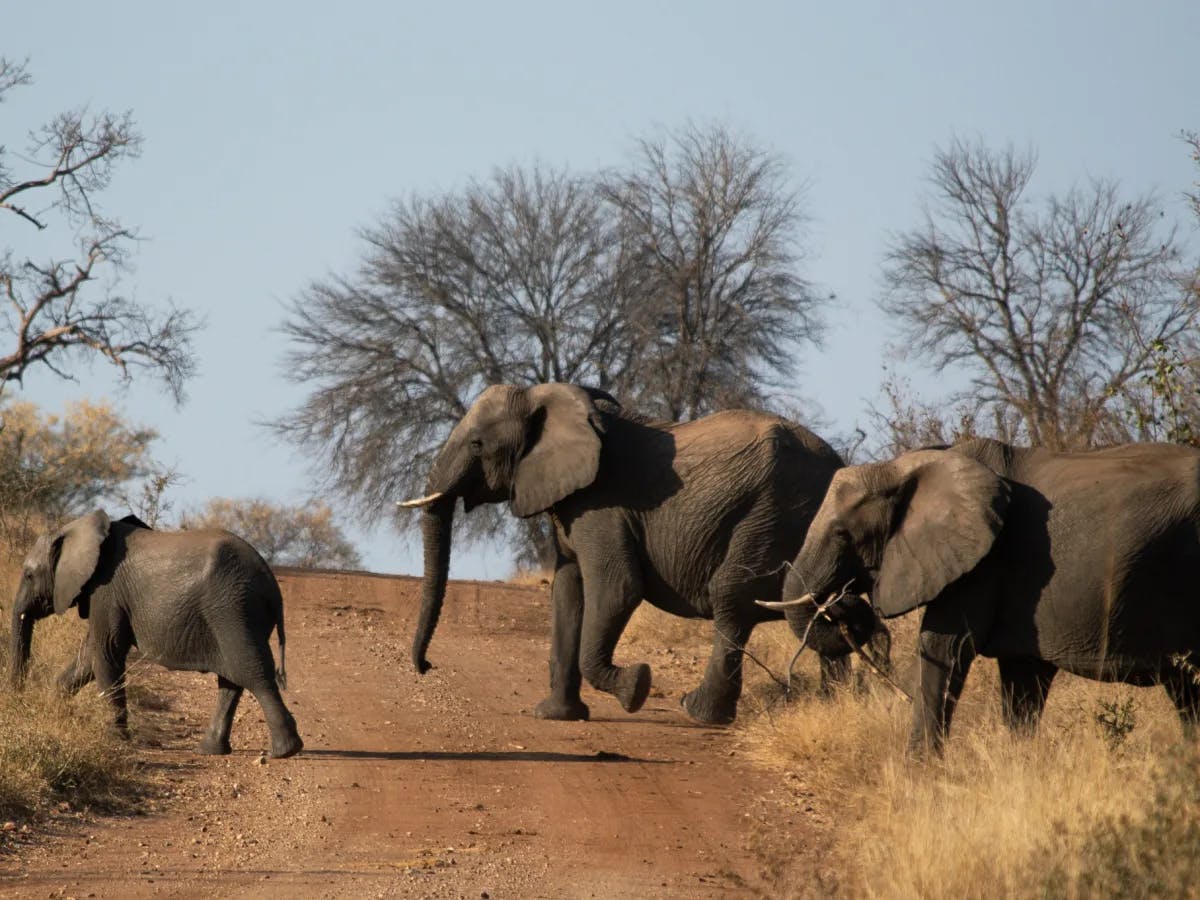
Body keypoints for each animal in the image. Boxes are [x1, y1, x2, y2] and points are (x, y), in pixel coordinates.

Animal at [11, 511, 302, 758]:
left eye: (29, 575)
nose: (20, 700)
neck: (77, 529)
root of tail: (270, 581)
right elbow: (91, 654)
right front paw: (55, 702)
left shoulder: (106, 590)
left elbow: (106, 651)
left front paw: (116, 740)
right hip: (237, 611)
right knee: (231, 679)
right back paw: (210, 751)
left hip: (233, 608)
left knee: (252, 672)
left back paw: (285, 751)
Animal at [403, 381, 883, 724]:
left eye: (477, 445)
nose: (426, 666)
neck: (549, 396)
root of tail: (839, 464)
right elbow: (568, 590)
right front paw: (556, 716)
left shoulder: (603, 505)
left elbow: (617, 587)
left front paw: (636, 686)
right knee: (819, 608)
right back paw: (834, 705)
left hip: (774, 513)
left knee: (731, 598)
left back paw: (698, 713)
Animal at [763, 436, 1200, 753]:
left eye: (842, 534)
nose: (841, 601)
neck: (905, 466)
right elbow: (1022, 680)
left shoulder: (982, 564)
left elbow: (944, 649)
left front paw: (919, 779)